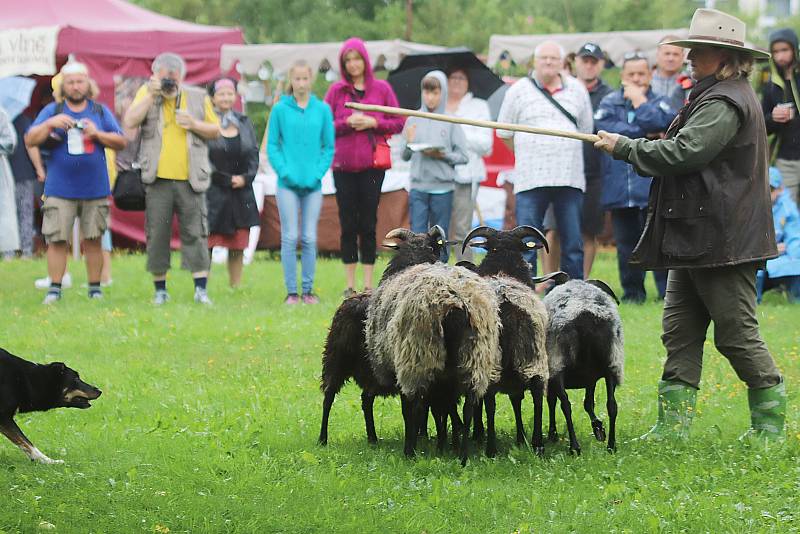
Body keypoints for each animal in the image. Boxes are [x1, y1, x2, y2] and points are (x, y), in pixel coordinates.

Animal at [320, 226, 456, 448]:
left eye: (431, 246)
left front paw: (422, 435)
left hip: (368, 372)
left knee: (366, 400)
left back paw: (373, 438)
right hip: (336, 358)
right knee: (328, 397)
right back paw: (322, 438)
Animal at [368, 260, 504, 464]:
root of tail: (455, 304)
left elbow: (415, 410)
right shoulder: (446, 381)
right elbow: (444, 408)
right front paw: (444, 444)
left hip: (417, 360)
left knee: (414, 406)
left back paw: (410, 452)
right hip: (475, 359)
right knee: (469, 407)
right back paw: (463, 456)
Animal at [460, 224, 552, 458]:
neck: (503, 272)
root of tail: (506, 304)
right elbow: (516, 399)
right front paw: (520, 438)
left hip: (494, 361)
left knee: (491, 401)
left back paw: (491, 447)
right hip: (533, 356)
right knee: (537, 394)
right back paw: (537, 444)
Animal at [544, 278, 624, 454]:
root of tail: (585, 312)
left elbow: (552, 402)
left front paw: (552, 434)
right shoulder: (591, 378)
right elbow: (588, 403)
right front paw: (598, 428)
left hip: (557, 363)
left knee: (565, 405)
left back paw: (574, 447)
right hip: (612, 363)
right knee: (612, 405)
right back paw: (611, 445)